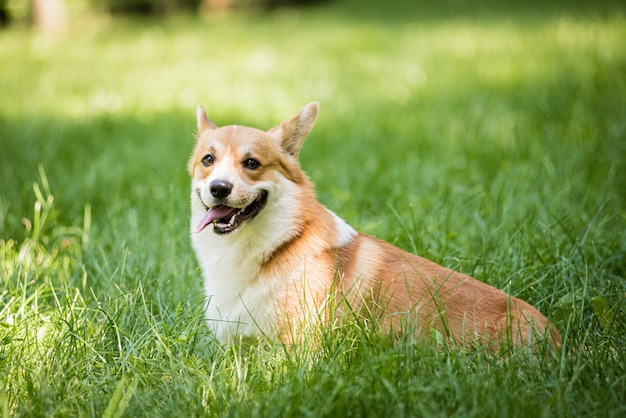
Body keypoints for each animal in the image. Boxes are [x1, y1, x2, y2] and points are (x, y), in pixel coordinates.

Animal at [188, 102, 560, 350]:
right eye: (208, 160)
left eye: (252, 163)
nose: (219, 188)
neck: (277, 245)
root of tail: (557, 341)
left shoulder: (297, 347)